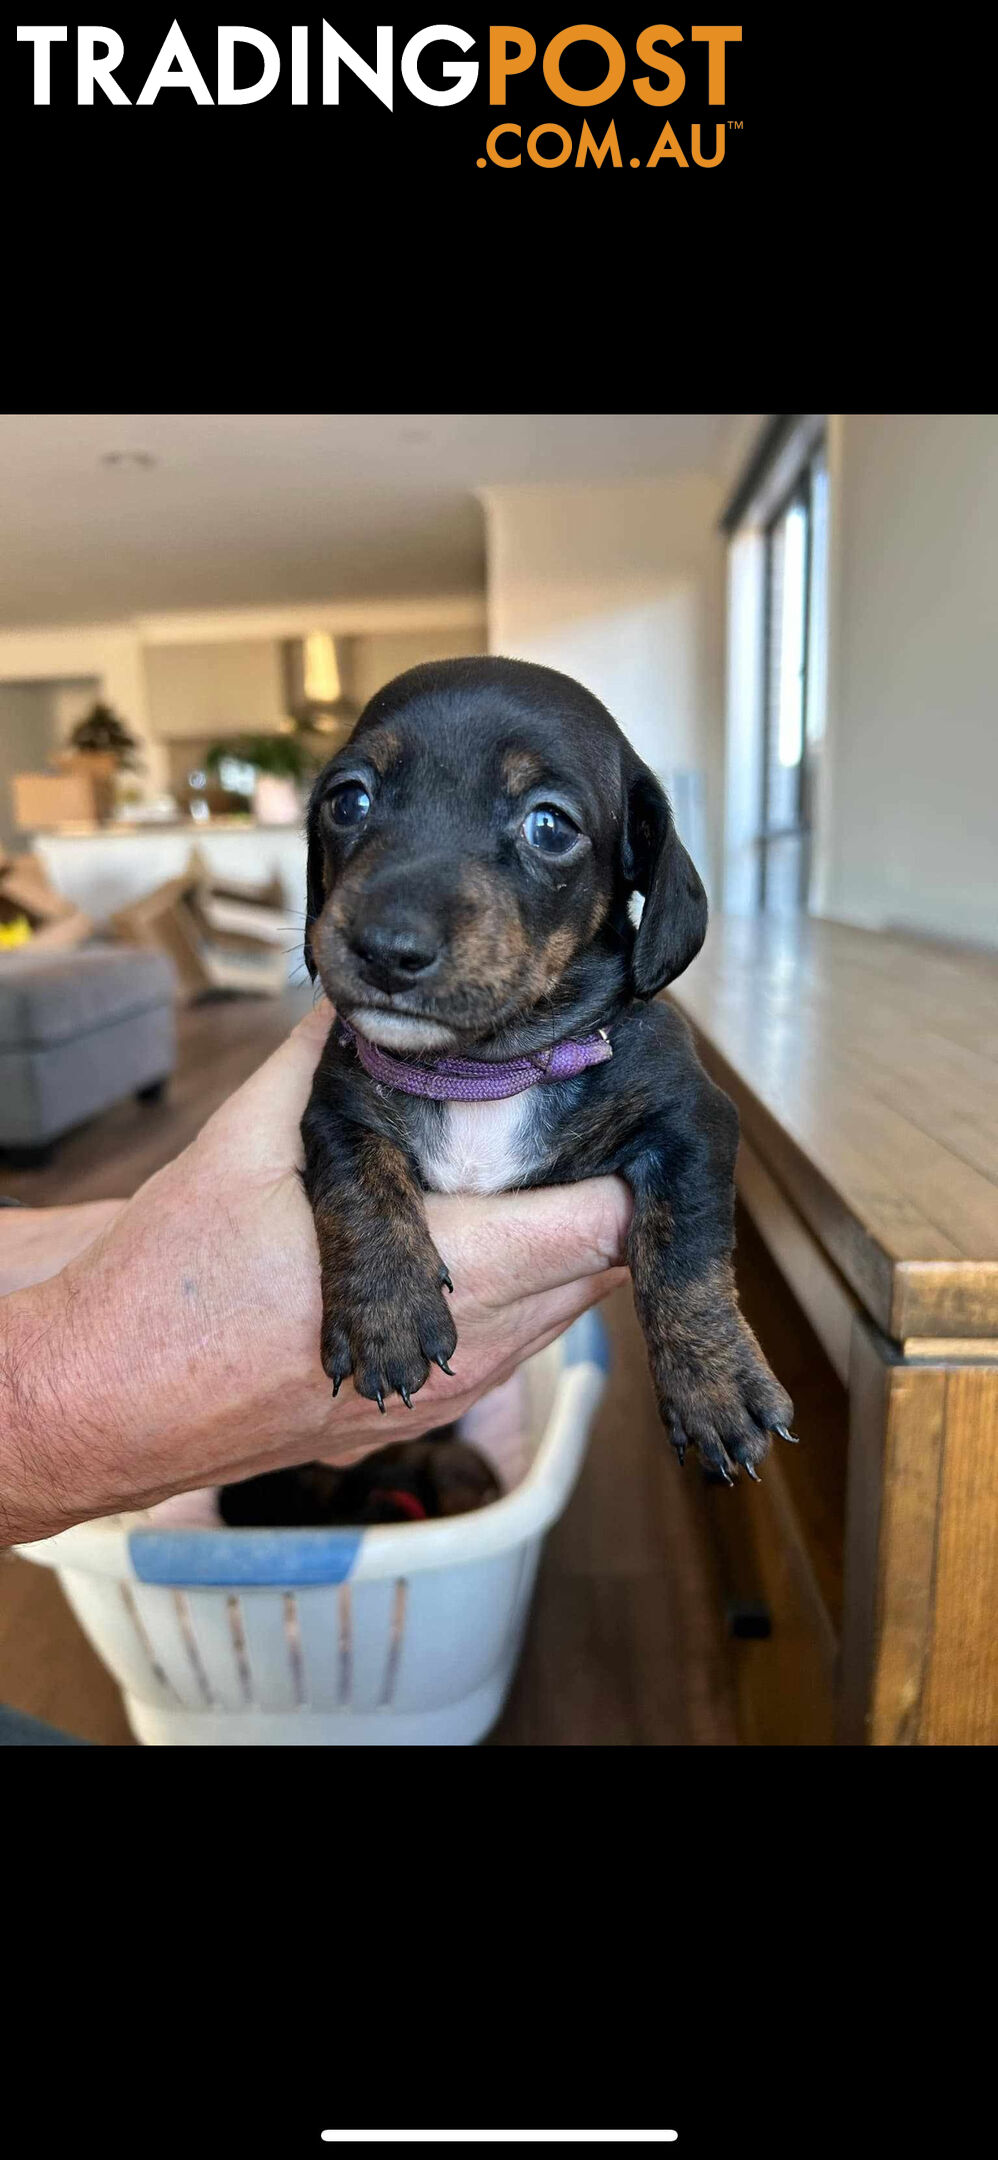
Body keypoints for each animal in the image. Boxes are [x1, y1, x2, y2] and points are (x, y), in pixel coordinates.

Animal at [295, 652, 794, 1486]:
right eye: (348, 800)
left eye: (550, 824)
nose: (386, 947)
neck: (482, 1069)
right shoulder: (335, 1102)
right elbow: (356, 1182)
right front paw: (384, 1313)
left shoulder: (694, 1121)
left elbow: (685, 1246)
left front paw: (715, 1382)